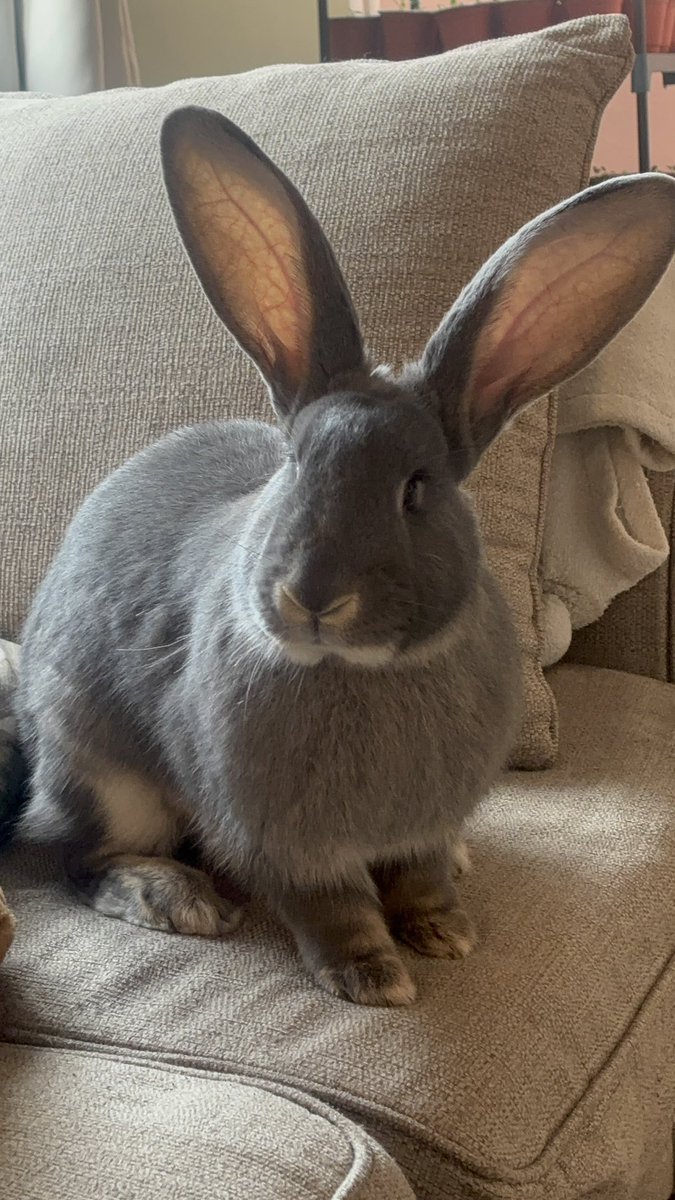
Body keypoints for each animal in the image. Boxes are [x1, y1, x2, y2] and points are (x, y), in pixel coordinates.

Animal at [10, 105, 675, 1007]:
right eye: (292, 466)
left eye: (417, 489)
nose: (313, 595)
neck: (359, 670)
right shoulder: (281, 841)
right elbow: (329, 906)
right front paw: (374, 978)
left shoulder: (421, 823)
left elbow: (421, 874)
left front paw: (444, 930)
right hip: (104, 777)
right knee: (79, 857)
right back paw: (175, 896)